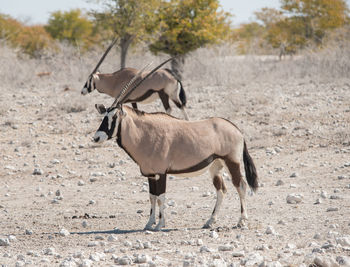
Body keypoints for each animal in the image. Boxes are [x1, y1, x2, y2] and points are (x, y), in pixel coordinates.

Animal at [91, 58, 258, 232]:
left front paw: (160, 225)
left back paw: (241, 221)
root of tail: (237, 129)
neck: (145, 134)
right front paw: (149, 223)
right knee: (222, 190)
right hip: (215, 166)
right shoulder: (151, 174)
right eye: (104, 116)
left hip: (232, 162)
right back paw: (210, 221)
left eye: (114, 117)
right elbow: (152, 197)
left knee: (241, 186)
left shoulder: (161, 173)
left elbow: (161, 198)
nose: (96, 137)